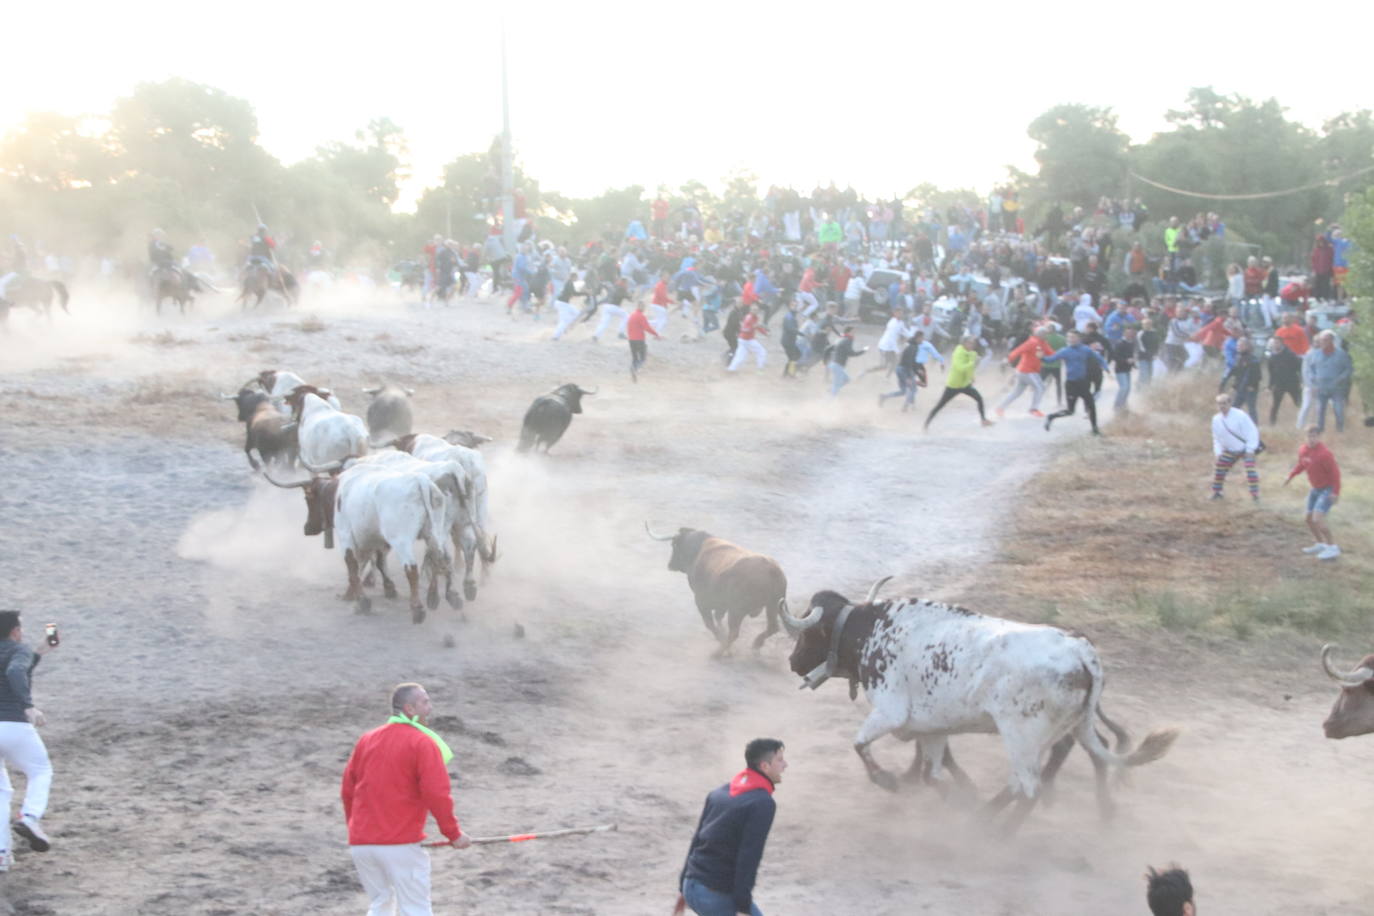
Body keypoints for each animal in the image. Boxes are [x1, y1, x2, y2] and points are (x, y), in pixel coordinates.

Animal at [643, 521, 785, 650]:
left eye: (673, 545)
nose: (670, 565)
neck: (697, 550)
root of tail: (771, 569)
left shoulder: (701, 600)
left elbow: (709, 623)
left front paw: (720, 637)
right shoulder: (721, 603)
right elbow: (718, 617)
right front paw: (722, 633)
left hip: (737, 610)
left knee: (734, 632)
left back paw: (718, 653)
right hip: (772, 605)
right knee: (772, 627)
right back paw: (756, 643)